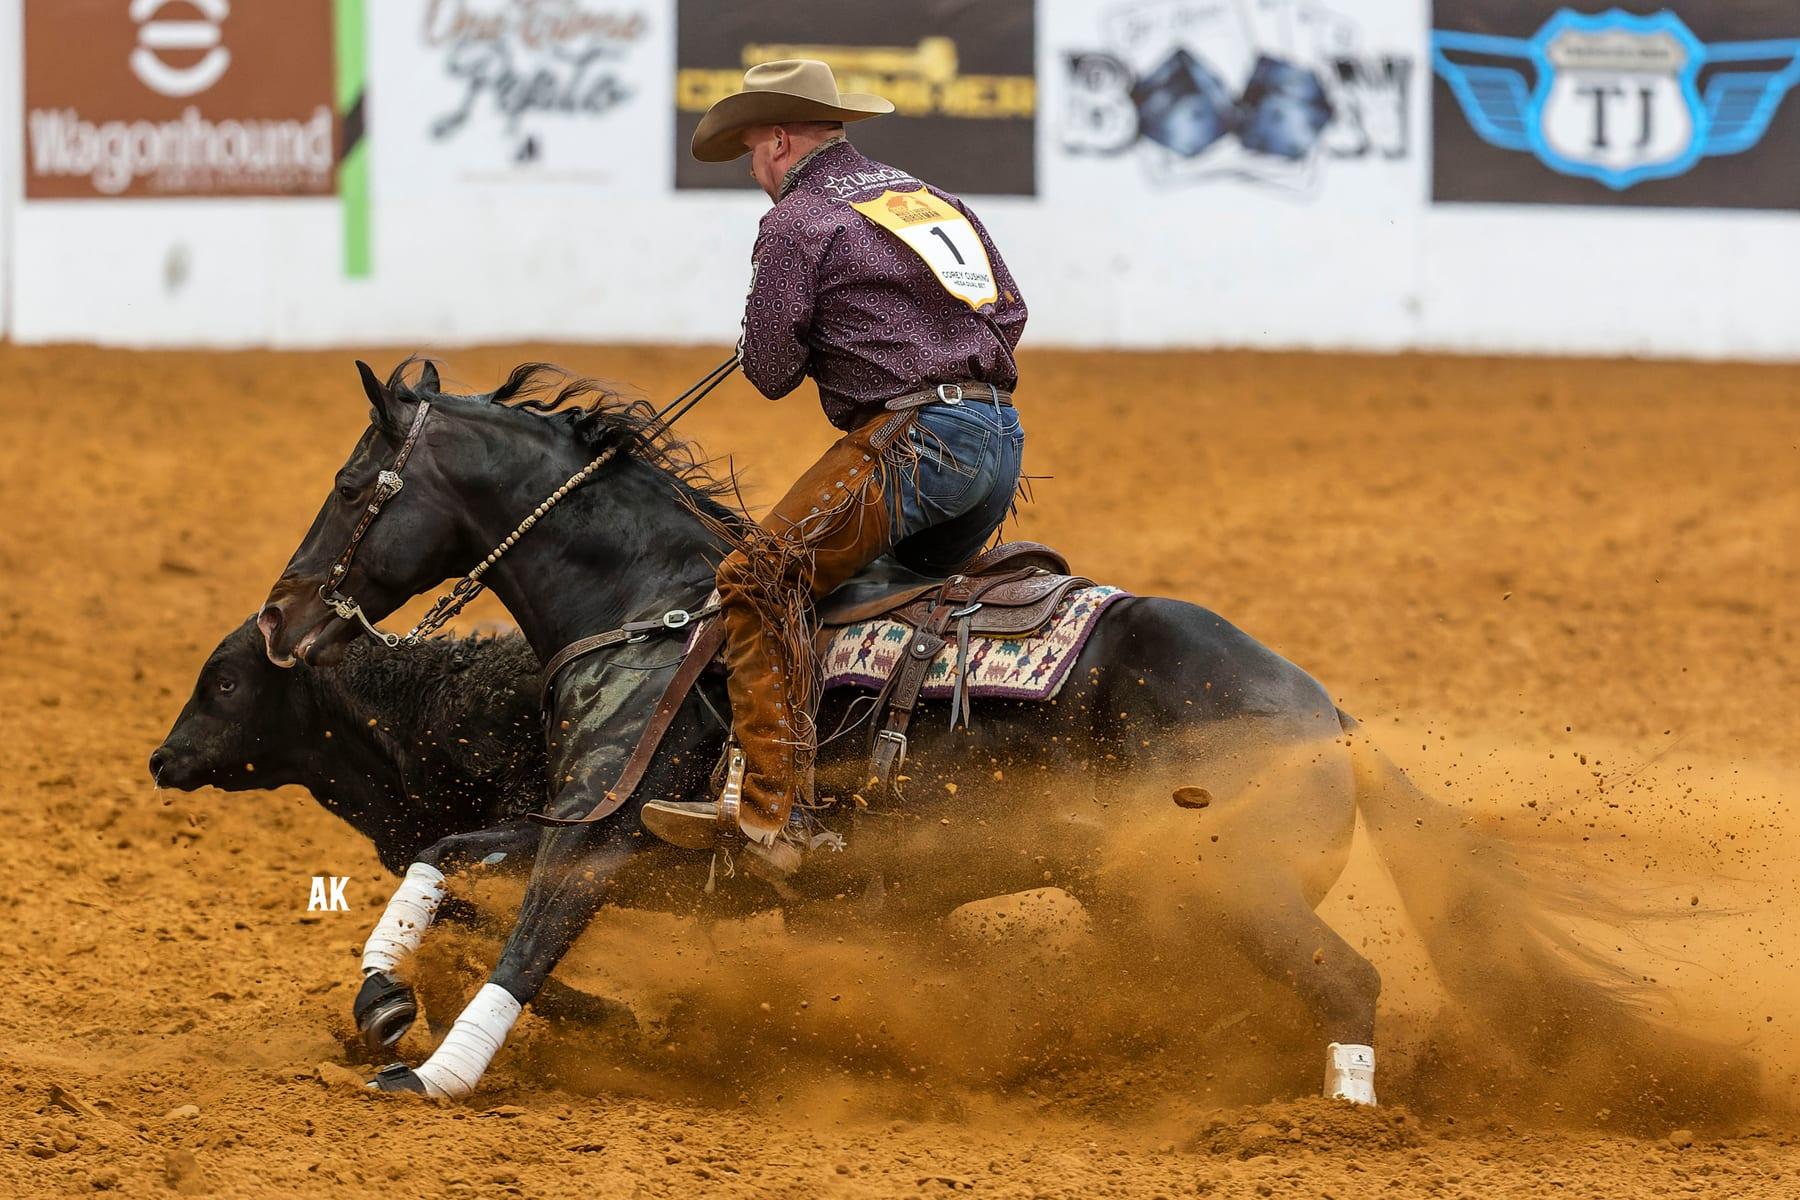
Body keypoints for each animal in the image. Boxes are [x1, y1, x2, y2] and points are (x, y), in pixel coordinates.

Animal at [252, 359, 1714, 1111]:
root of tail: (1328, 720)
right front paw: (380, 1001)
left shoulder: (614, 840)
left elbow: (521, 933)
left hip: (1233, 892)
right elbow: (440, 858)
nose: (281, 617)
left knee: (1349, 985)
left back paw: (1333, 1129)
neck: (650, 604)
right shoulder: (628, 852)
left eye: (353, 483)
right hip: (1157, 906)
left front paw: (435, 1073)